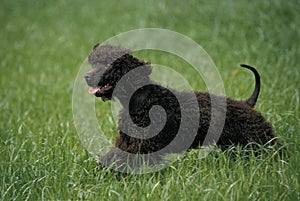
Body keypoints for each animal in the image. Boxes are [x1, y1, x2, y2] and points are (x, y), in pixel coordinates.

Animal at [84, 44, 278, 170]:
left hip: (261, 139)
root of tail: (246, 103)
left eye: (109, 64)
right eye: (94, 64)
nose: (86, 76)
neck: (141, 100)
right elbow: (110, 157)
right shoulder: (127, 142)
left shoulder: (143, 146)